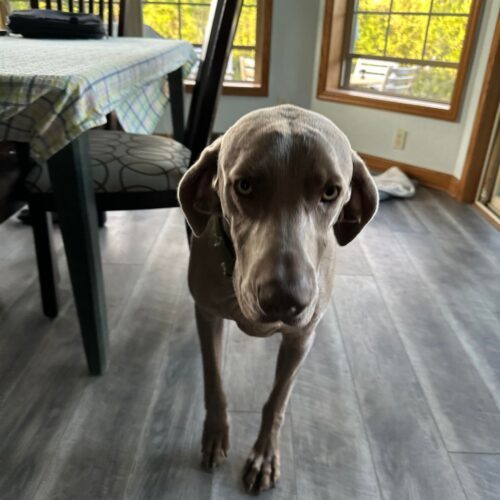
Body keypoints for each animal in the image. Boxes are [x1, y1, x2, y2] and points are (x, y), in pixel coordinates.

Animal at [178, 103, 376, 494]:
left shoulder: (300, 337)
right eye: (244, 185)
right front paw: (216, 434)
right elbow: (214, 379)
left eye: (331, 192)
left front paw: (264, 456)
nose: (284, 300)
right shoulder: (206, 313)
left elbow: (277, 400)